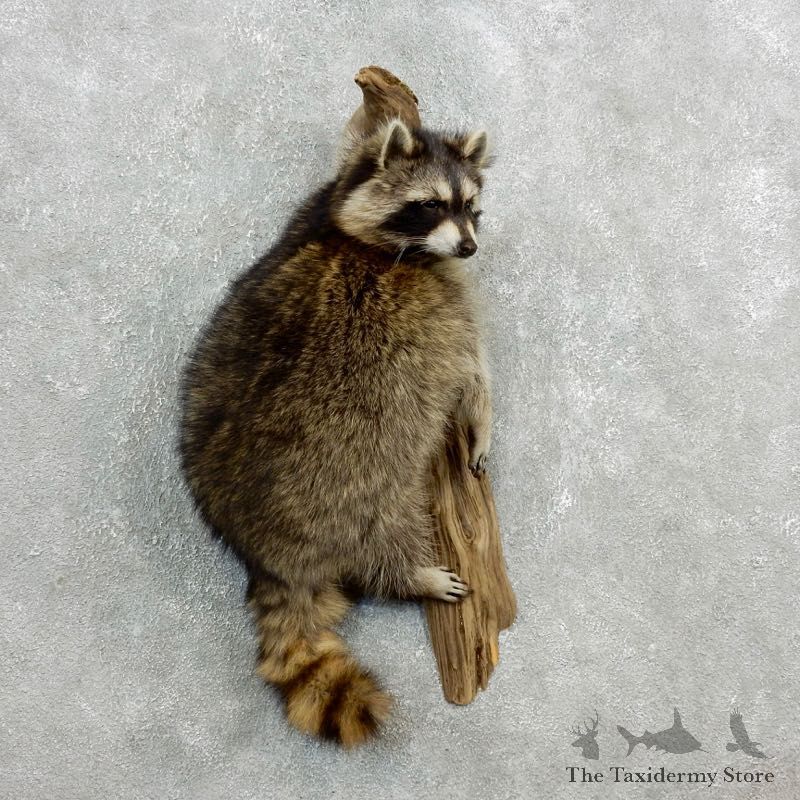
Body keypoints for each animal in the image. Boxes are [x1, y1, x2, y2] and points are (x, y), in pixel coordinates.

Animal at [178, 118, 493, 747]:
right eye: (430, 205)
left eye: (472, 207)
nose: (470, 247)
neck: (352, 232)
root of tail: (267, 555)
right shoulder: (444, 304)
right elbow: (472, 371)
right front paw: (481, 423)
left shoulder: (315, 207)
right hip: (356, 484)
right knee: (384, 530)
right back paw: (409, 574)